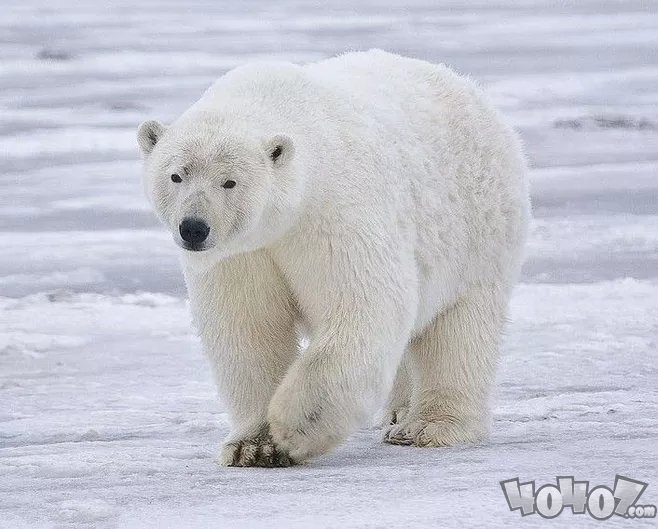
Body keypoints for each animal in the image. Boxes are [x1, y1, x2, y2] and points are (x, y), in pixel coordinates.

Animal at [137, 49, 528, 466]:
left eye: (229, 181)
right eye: (176, 175)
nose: (194, 228)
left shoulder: (333, 214)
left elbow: (364, 305)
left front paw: (293, 428)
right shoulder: (242, 254)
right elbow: (249, 328)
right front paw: (252, 446)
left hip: (478, 231)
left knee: (460, 329)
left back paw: (428, 426)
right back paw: (398, 412)